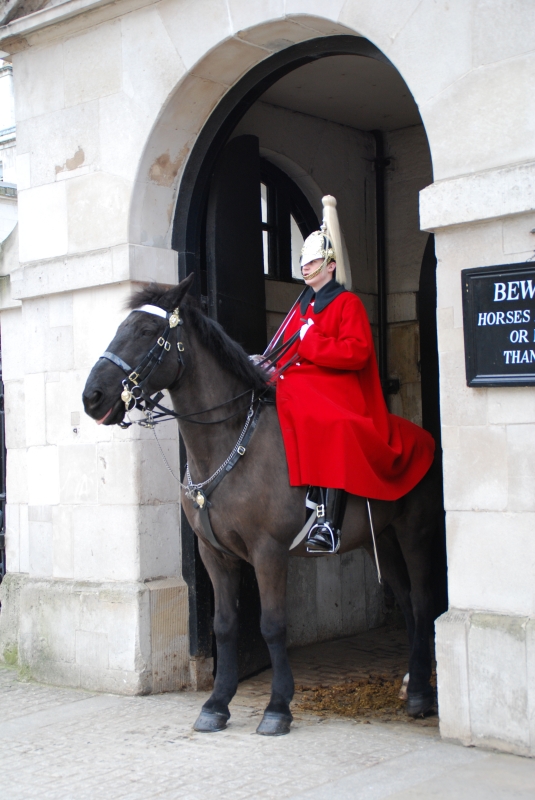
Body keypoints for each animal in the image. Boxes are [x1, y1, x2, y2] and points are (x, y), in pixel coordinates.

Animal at [84, 276, 444, 736]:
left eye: (147, 331)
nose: (92, 397)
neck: (229, 441)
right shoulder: (214, 553)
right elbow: (224, 626)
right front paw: (217, 703)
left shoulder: (268, 551)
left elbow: (272, 626)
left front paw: (277, 707)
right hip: (378, 538)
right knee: (408, 604)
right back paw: (414, 684)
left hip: (415, 532)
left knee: (422, 600)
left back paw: (420, 694)